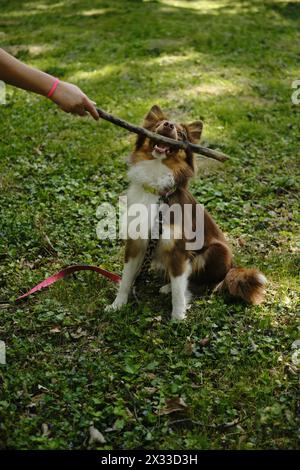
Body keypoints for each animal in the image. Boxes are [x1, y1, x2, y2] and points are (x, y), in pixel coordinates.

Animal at [106, 106, 266, 320]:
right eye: (159, 124)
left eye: (181, 134)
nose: (168, 125)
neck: (158, 188)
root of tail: (232, 267)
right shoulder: (135, 243)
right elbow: (126, 278)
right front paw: (117, 305)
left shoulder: (179, 249)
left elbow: (179, 290)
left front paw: (178, 318)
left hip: (216, 251)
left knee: (206, 284)